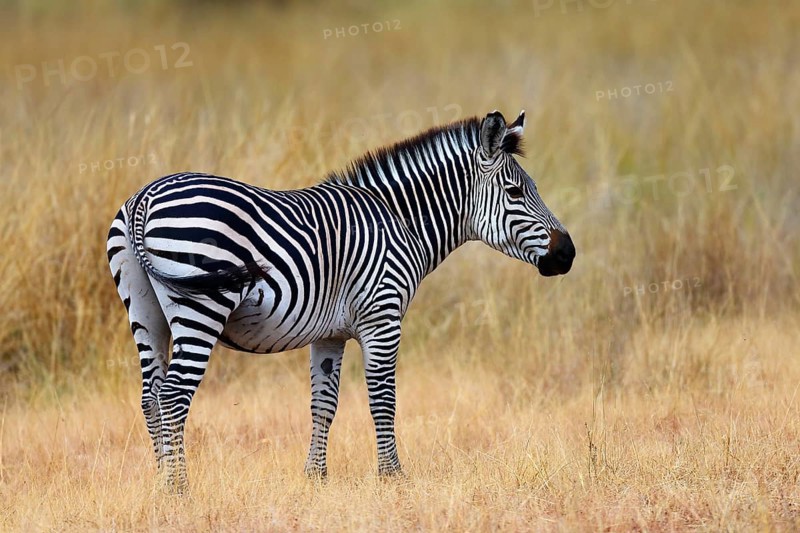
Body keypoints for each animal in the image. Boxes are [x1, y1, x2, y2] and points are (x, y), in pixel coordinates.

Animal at [106, 109, 575, 493]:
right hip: (200, 308)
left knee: (150, 395)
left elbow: (323, 405)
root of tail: (144, 198)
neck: (400, 221)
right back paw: (178, 487)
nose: (567, 253)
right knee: (173, 394)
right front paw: (392, 477)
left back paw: (160, 482)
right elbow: (383, 399)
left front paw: (316, 478)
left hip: (145, 310)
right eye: (515, 193)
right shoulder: (382, 316)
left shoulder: (329, 335)